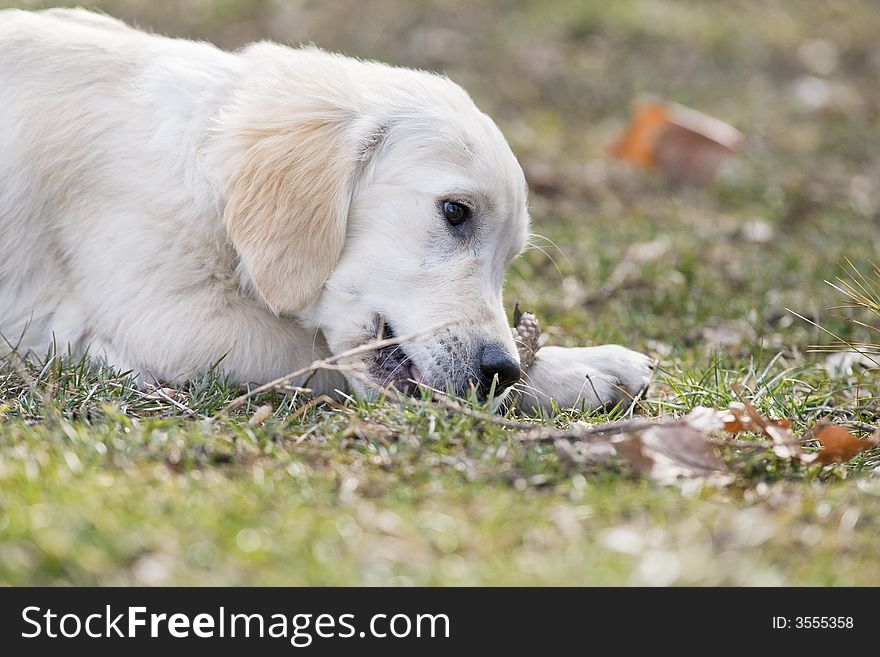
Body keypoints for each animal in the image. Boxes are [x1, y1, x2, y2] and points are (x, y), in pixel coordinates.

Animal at [0, 9, 652, 410]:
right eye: (455, 212)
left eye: (510, 257)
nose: (503, 369)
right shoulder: (172, 319)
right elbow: (318, 356)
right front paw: (580, 368)